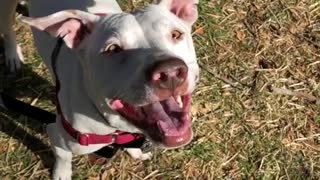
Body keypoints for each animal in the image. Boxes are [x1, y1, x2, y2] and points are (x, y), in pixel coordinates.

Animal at [0, 0, 199, 179]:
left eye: (176, 34)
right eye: (113, 49)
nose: (169, 72)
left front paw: (135, 153)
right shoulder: (57, 135)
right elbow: (63, 161)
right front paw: (61, 175)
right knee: (8, 29)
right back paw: (13, 55)